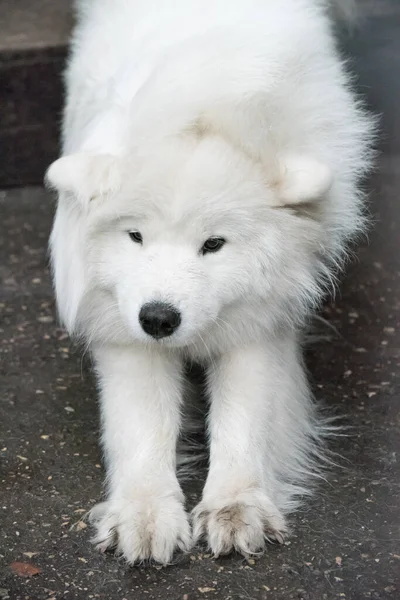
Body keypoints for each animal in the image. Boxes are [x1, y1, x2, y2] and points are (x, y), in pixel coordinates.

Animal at [47, 0, 376, 564]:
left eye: (214, 244)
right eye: (135, 236)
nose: (159, 318)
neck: (205, 108)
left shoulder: (258, 323)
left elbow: (245, 417)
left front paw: (236, 508)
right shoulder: (122, 325)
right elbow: (141, 423)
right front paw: (144, 515)